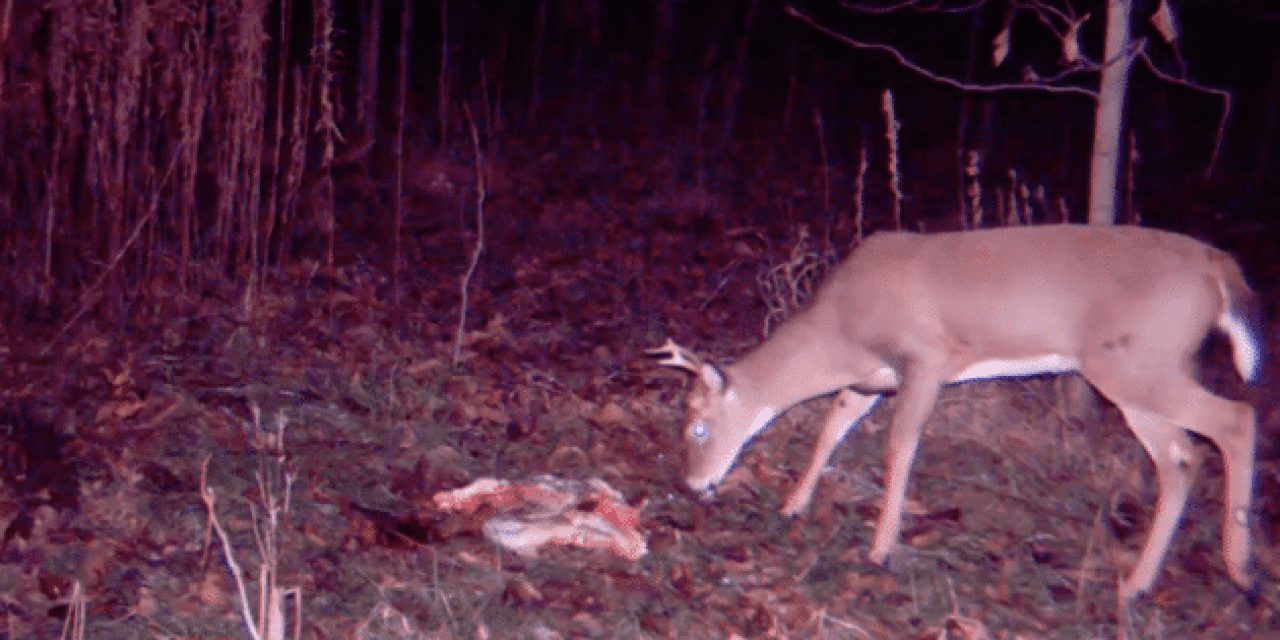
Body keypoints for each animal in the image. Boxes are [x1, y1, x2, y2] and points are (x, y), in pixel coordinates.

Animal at [650, 225, 1259, 599]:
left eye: (697, 426)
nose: (690, 484)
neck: (838, 333)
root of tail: (1220, 268)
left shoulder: (926, 357)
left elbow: (899, 446)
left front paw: (880, 549)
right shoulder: (872, 378)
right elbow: (831, 427)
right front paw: (794, 505)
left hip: (1134, 364)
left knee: (1235, 419)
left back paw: (1237, 567)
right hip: (1138, 373)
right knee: (1182, 457)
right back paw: (1138, 584)